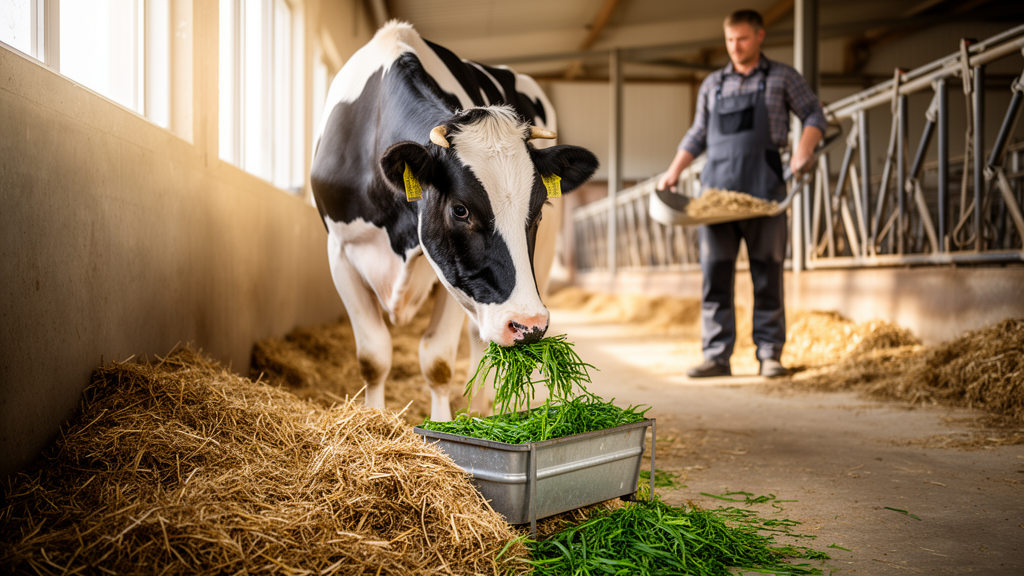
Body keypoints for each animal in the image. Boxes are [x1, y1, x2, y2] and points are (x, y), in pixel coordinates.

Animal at [309, 21, 599, 421]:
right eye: (460, 210)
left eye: (539, 209)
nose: (529, 325)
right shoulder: (339, 250)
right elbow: (373, 356)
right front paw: (376, 420)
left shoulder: (453, 275)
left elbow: (437, 360)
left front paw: (445, 425)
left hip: (534, 264)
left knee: (481, 339)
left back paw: (485, 412)